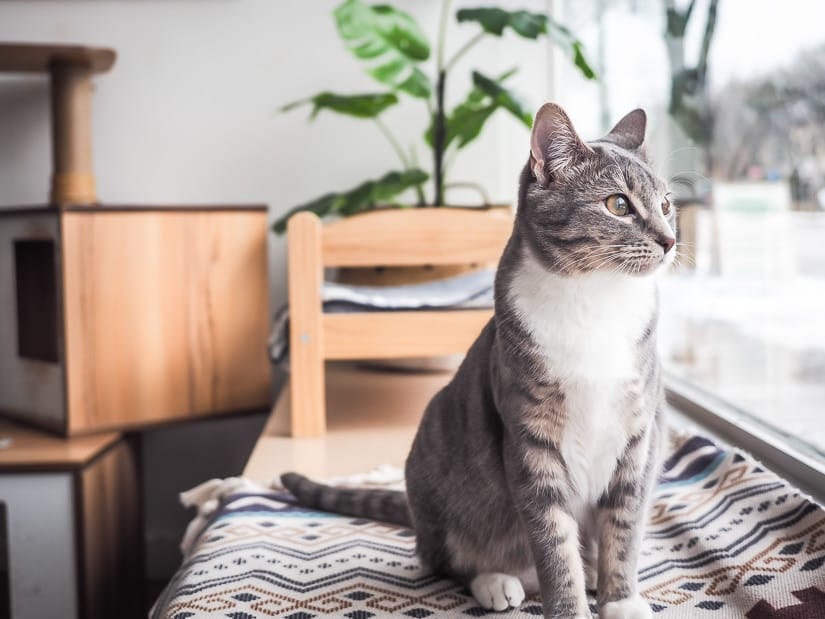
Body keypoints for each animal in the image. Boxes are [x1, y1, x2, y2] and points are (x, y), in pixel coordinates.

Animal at [282, 103, 676, 619]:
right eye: (618, 205)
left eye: (666, 204)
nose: (670, 240)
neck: (596, 300)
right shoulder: (530, 439)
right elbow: (553, 543)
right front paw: (570, 606)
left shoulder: (639, 434)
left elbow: (624, 530)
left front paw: (621, 599)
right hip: (438, 461)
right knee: (450, 558)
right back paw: (495, 580)